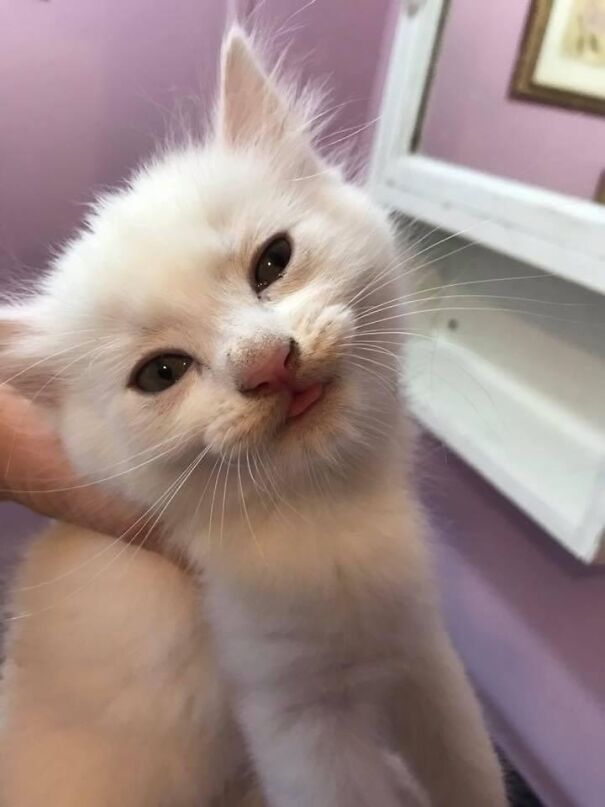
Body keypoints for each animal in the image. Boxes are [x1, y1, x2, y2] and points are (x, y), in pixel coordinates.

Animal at [0, 25, 504, 807]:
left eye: (272, 262)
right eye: (162, 373)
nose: (269, 362)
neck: (327, 511)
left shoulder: (419, 648)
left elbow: (470, 769)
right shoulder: (298, 720)